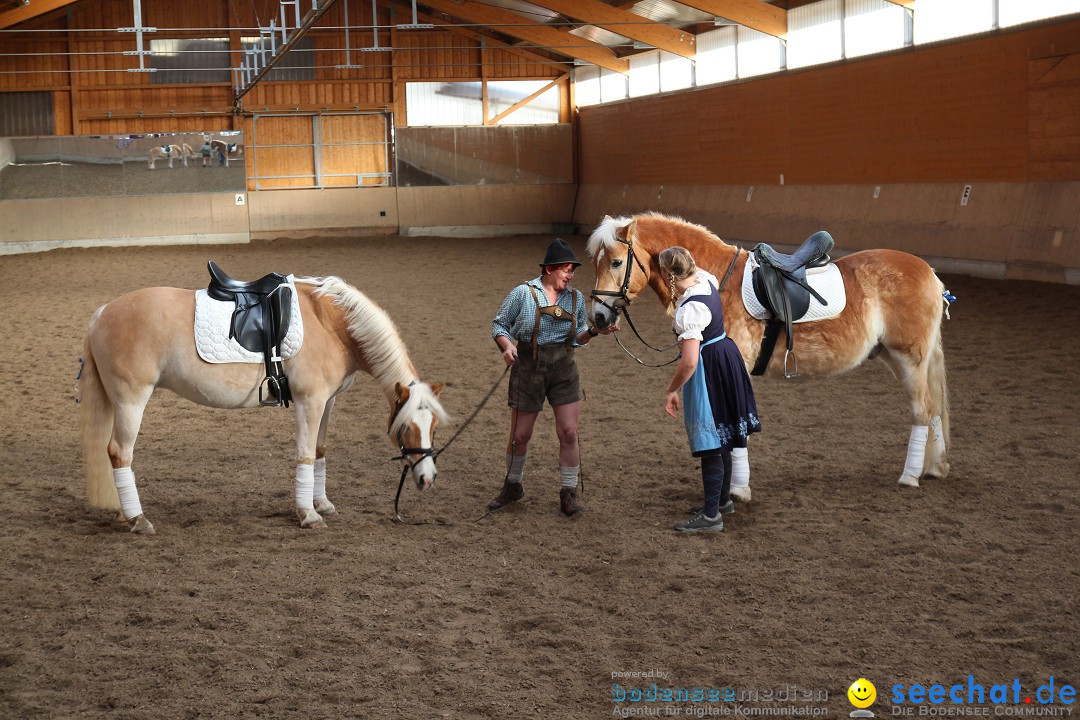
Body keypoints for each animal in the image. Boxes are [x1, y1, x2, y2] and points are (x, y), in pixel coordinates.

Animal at [78, 273, 444, 533]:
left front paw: (322, 503)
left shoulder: (327, 402)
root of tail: (101, 313)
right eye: (405, 427)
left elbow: (320, 452)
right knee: (119, 453)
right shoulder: (310, 401)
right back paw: (138, 519)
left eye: (434, 427)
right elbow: (305, 455)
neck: (332, 323)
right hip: (131, 401)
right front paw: (308, 514)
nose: (427, 478)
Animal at [587, 211, 950, 487]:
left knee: (923, 410)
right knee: (933, 409)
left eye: (616, 262)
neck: (714, 278)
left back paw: (909, 476)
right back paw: (932, 467)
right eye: (595, 262)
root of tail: (930, 273)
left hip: (909, 357)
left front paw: (737, 489)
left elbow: (736, 426)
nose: (598, 317)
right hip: (894, 356)